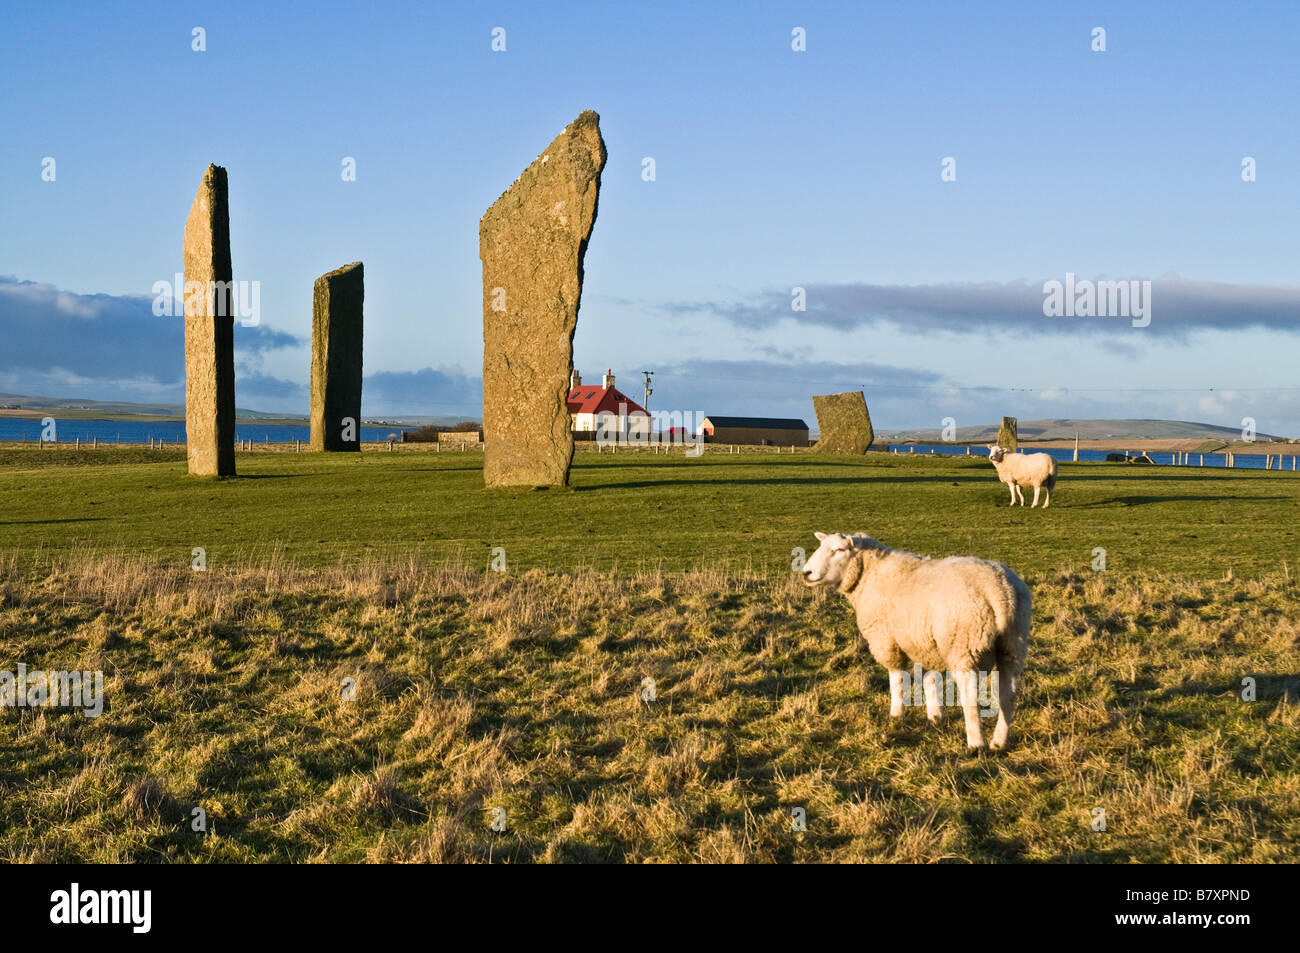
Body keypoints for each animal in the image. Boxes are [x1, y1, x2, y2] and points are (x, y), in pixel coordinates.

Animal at [795, 530, 1029, 748]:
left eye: (839, 550)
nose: (806, 572)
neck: (869, 573)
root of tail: (1000, 592)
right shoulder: (924, 643)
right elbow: (930, 679)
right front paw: (935, 717)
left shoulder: (887, 639)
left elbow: (896, 678)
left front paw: (896, 714)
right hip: (1013, 645)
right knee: (1008, 694)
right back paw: (999, 741)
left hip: (963, 644)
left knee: (969, 693)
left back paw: (976, 744)